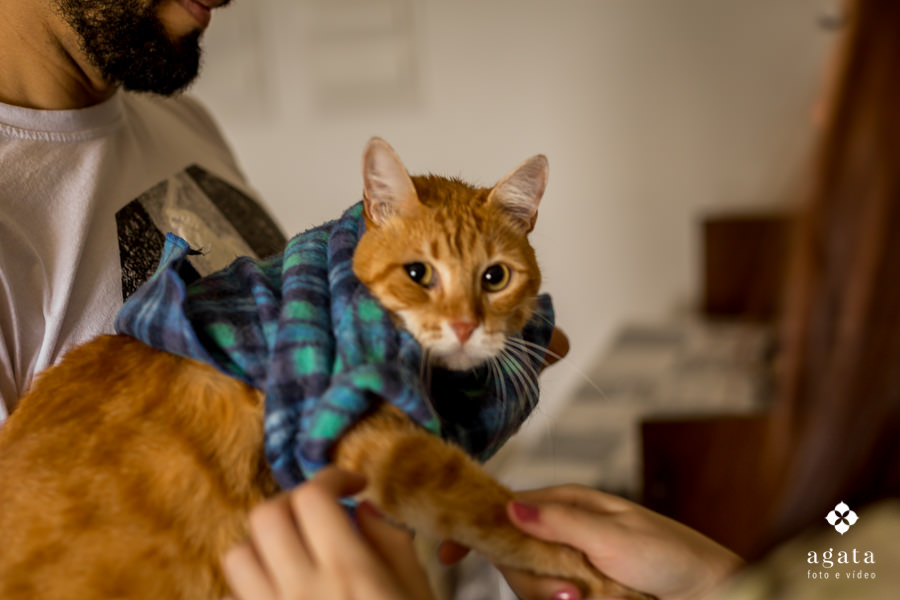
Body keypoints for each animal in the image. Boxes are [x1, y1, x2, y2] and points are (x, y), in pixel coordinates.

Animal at [0, 138, 648, 600]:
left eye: (495, 277)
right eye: (418, 274)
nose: (465, 325)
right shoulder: (382, 441)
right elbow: (496, 514)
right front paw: (601, 576)